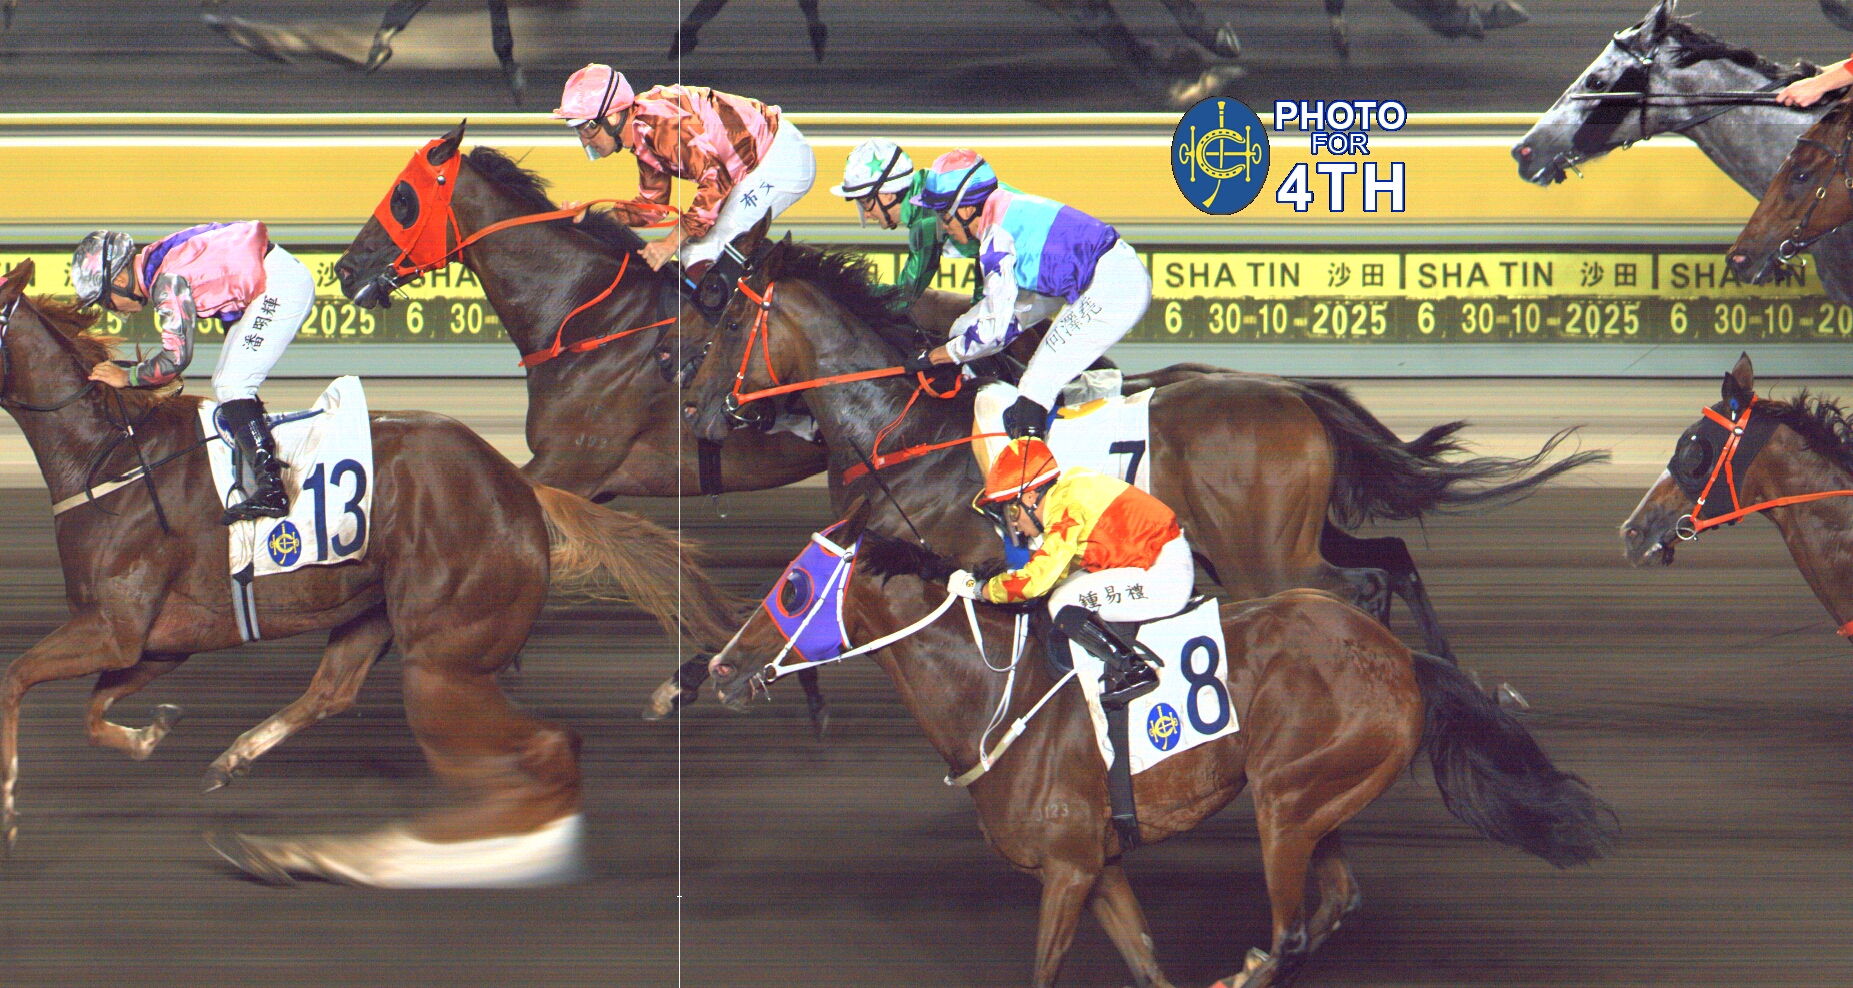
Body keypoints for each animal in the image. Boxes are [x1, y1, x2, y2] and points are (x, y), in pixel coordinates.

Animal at [0, 260, 739, 886]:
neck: (109, 457)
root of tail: (519, 489)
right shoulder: (154, 642)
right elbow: (94, 711)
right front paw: (150, 733)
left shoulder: (115, 628)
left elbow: (15, 678)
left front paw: (7, 807)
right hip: (376, 614)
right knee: (335, 692)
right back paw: (250, 791)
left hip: (442, 666)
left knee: (544, 756)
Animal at [678, 219, 1608, 666]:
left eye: (724, 323)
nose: (697, 409)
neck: (896, 424)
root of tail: (1295, 394)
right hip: (1295, 532)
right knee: (1390, 560)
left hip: (1266, 553)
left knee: (1356, 585)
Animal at [705, 518, 1619, 988]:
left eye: (790, 590)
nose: (718, 666)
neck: (991, 700)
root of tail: (1399, 658)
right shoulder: (1098, 866)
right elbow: (1145, 965)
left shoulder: (1067, 870)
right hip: (1320, 799)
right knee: (1334, 901)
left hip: (1284, 801)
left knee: (1290, 931)